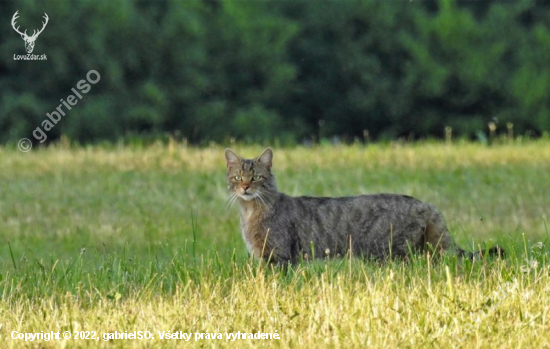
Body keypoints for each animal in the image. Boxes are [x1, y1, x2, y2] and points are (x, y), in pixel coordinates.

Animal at [225, 147, 504, 264]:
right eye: (238, 177)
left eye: (256, 177)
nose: (246, 187)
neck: (251, 211)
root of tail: (426, 204)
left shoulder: (279, 256)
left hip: (392, 252)